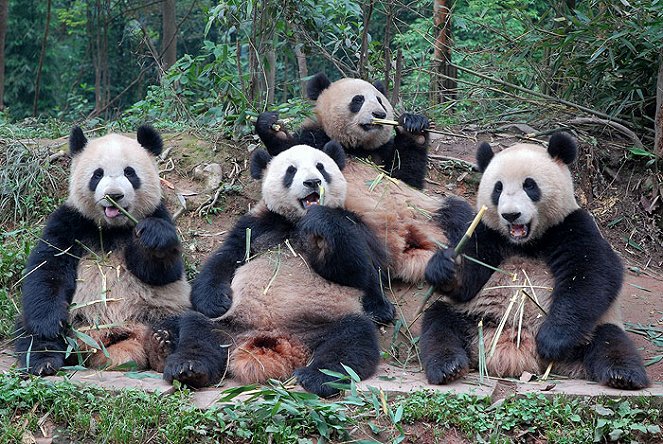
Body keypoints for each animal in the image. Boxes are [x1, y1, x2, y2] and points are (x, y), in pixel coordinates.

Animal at [15, 125, 191, 374]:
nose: (114, 195)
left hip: (163, 309)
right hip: (74, 320)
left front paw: (153, 236)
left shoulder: (157, 214)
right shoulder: (71, 221)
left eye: (130, 173)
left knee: (188, 324)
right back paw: (44, 361)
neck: (111, 228)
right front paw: (51, 325)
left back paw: (162, 346)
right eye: (97, 174)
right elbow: (48, 267)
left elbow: (162, 273)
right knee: (29, 332)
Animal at [162, 144, 390, 398]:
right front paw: (215, 301)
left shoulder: (352, 224)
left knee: (351, 340)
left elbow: (357, 272)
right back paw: (189, 368)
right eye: (291, 171)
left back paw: (318, 377)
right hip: (230, 324)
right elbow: (225, 259)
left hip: (326, 322)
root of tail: (277, 338)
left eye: (321, 167)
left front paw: (320, 218)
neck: (295, 222)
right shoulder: (256, 225)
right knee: (199, 331)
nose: (313, 182)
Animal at [249, 73, 472, 298]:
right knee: (351, 248)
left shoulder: (381, 153)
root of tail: (404, 249)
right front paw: (273, 128)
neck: (354, 147)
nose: (379, 114)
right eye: (358, 100)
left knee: (460, 216)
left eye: (380, 99)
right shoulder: (313, 137)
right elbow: (286, 155)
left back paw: (456, 270)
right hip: (369, 231)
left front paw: (414, 128)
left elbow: (406, 177)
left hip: (426, 214)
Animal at [422, 134, 652, 390]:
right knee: (439, 322)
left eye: (529, 185)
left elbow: (593, 274)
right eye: (498, 188)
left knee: (610, 340)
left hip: (591, 330)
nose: (510, 215)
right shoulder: (488, 232)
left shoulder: (571, 225)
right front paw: (444, 268)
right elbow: (471, 276)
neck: (525, 242)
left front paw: (552, 341)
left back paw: (623, 375)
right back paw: (448, 367)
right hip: (473, 318)